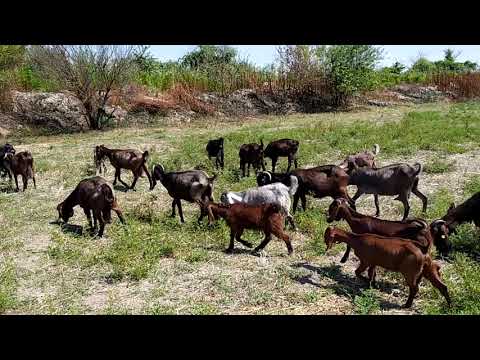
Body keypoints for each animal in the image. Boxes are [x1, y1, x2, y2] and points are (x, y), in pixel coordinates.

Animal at [324, 197, 452, 262]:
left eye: (332, 207)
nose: (328, 219)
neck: (357, 220)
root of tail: (424, 228)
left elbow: (349, 245)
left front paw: (343, 259)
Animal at [324, 226, 452, 308]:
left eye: (326, 236)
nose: (325, 245)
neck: (356, 239)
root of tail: (423, 248)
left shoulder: (365, 261)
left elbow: (357, 272)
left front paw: (367, 282)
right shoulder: (373, 263)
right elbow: (372, 274)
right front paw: (372, 285)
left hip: (409, 272)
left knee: (414, 288)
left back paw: (407, 305)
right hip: (427, 269)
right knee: (442, 286)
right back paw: (450, 305)